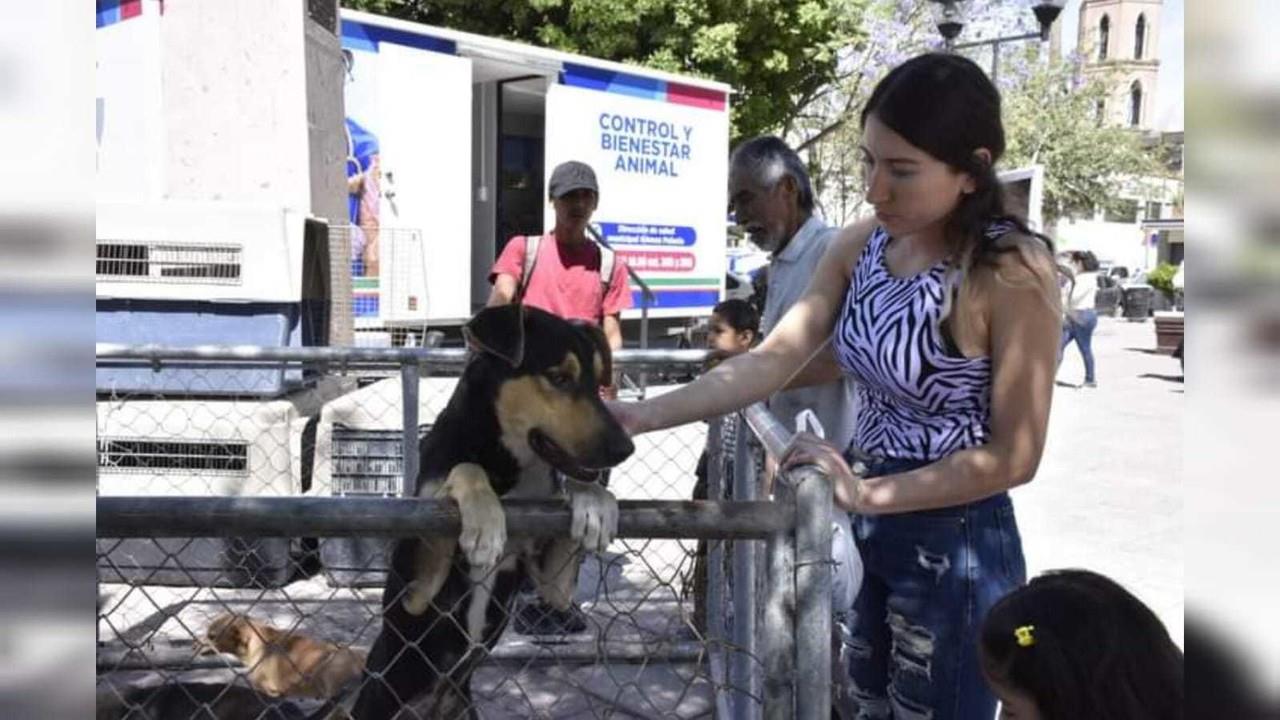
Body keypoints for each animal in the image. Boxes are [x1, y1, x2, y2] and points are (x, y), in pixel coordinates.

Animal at [350, 303, 634, 717]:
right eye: (559, 378)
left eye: (598, 381)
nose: (624, 449)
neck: (513, 468)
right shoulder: (415, 592)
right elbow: (466, 468)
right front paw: (485, 523)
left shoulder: (553, 585)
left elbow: (576, 493)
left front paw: (594, 501)